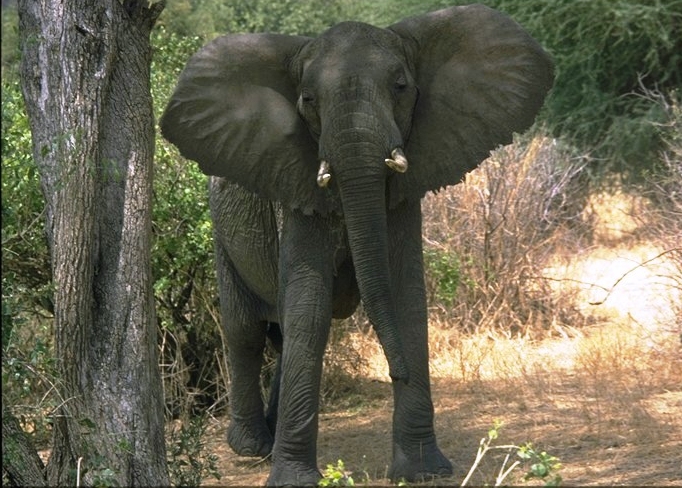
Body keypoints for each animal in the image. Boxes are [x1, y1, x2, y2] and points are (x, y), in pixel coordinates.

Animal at [161, 2, 552, 484]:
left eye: (401, 87)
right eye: (308, 101)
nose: (396, 373)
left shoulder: (404, 193)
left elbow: (403, 297)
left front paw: (422, 472)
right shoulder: (296, 190)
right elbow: (309, 305)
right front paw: (293, 480)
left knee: (283, 334)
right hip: (222, 230)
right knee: (245, 330)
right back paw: (252, 448)